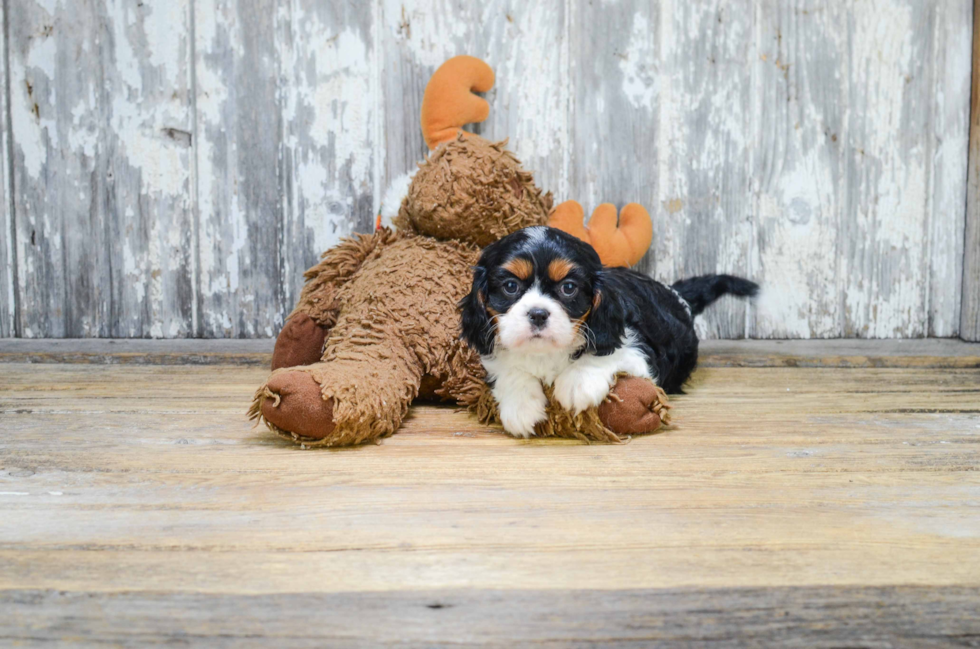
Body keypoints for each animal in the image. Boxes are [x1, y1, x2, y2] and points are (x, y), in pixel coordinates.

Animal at [460, 225, 756, 438]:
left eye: (569, 288)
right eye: (510, 286)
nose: (538, 313)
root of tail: (675, 294)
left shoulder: (639, 350)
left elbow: (607, 354)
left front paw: (577, 383)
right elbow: (509, 369)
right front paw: (521, 406)